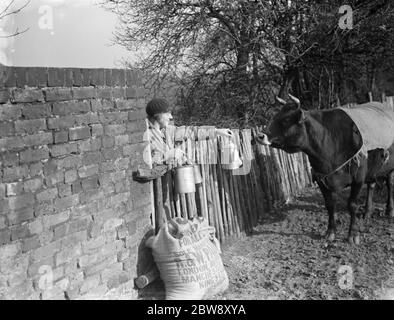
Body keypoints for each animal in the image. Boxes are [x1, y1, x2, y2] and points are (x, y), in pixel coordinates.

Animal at [258, 95, 394, 245]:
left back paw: (389, 210)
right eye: (275, 116)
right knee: (372, 185)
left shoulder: (358, 177)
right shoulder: (320, 178)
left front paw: (353, 234)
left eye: (286, 120)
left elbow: (352, 204)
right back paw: (367, 212)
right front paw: (330, 232)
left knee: (389, 185)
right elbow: (330, 205)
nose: (260, 136)